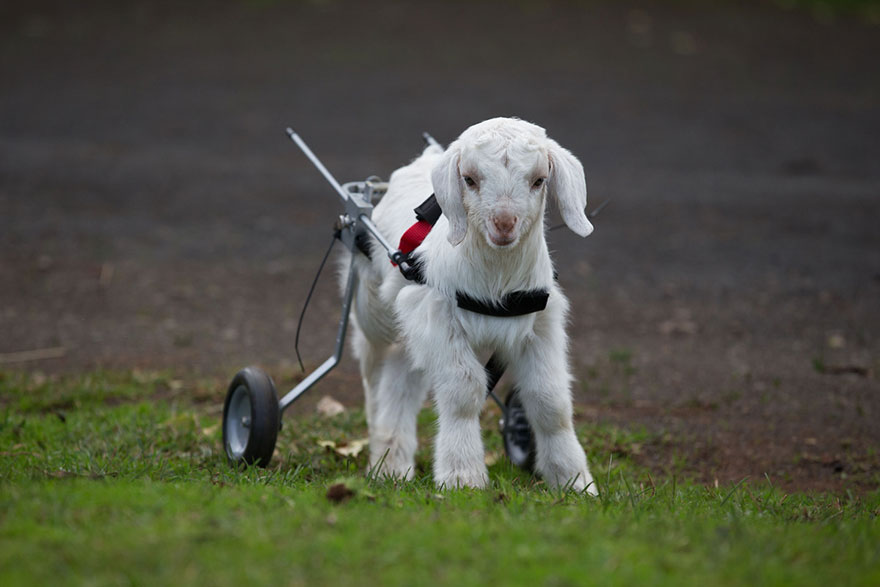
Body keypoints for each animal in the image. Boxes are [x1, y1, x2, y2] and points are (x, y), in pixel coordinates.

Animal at [345, 117, 597, 494]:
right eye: (470, 179)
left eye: (539, 180)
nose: (504, 224)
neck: (496, 282)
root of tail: (425, 159)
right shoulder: (438, 318)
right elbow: (463, 392)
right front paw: (463, 477)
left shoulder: (541, 324)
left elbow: (550, 400)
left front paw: (574, 480)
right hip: (372, 309)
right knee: (373, 368)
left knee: (400, 380)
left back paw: (391, 466)